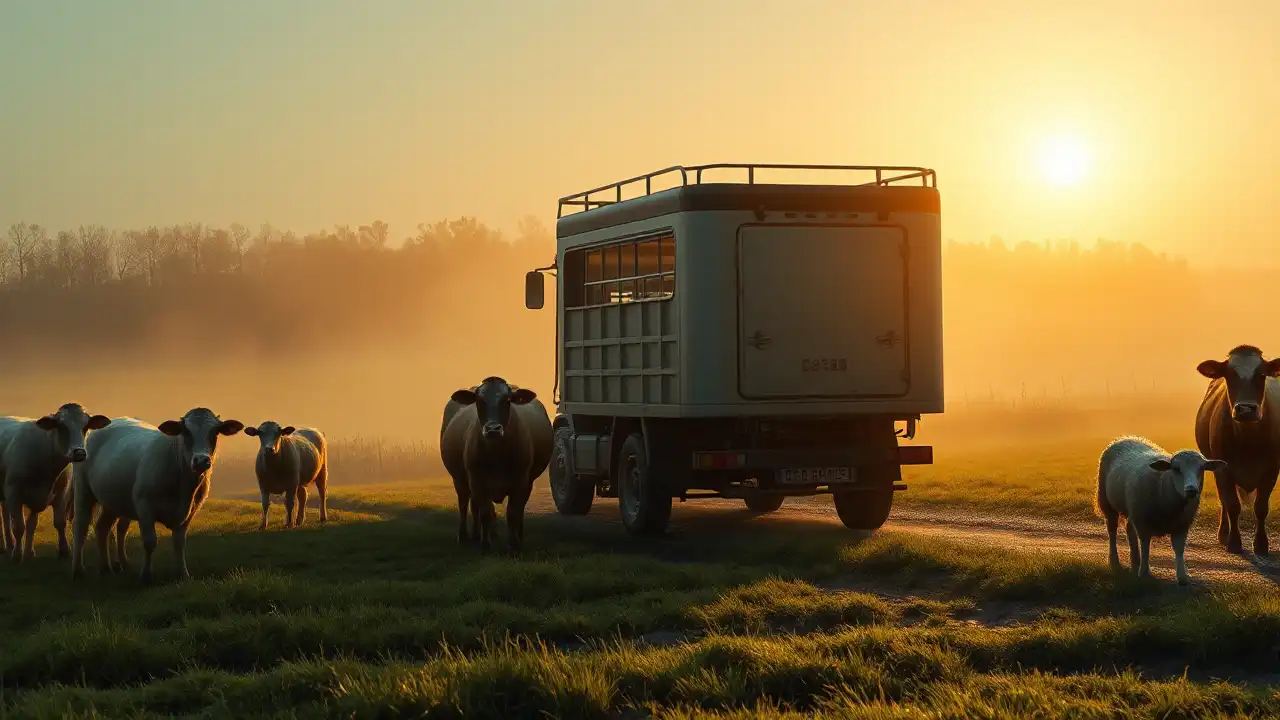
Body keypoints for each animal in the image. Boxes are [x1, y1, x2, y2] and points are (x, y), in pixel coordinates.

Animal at [0, 404, 111, 562]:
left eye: (85, 427)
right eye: (62, 427)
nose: (80, 453)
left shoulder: (60, 493)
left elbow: (55, 523)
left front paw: (63, 550)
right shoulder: (13, 494)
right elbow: (19, 526)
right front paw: (17, 554)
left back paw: (13, 547)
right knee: (6, 519)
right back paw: (8, 547)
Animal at [70, 407, 244, 582]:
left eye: (215, 432)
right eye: (186, 432)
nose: (201, 460)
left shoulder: (190, 512)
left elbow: (179, 543)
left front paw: (182, 574)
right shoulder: (144, 506)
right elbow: (150, 542)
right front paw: (146, 575)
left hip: (112, 500)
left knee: (102, 528)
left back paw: (106, 568)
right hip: (83, 488)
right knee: (80, 526)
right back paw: (78, 570)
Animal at [439, 377, 553, 554]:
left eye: (507, 401)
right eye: (479, 401)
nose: (493, 429)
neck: (496, 456)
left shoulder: (522, 482)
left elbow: (513, 512)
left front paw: (514, 544)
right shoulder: (477, 481)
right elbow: (485, 512)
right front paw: (486, 545)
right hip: (460, 480)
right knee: (465, 504)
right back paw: (466, 536)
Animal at [1095, 436, 1226, 585]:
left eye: (1202, 469)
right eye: (1176, 469)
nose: (1191, 490)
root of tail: (1125, 438)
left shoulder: (1182, 524)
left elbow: (1179, 549)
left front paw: (1182, 576)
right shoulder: (1143, 521)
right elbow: (1145, 545)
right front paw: (1144, 573)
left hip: (1131, 509)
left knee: (1129, 529)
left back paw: (1135, 562)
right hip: (1106, 501)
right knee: (1112, 530)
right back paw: (1115, 562)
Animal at [1194, 344, 1280, 555]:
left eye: (1262, 375)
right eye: (1229, 374)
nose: (1246, 409)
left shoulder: (1272, 470)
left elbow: (1261, 507)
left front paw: (1261, 544)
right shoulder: (1223, 469)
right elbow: (1232, 504)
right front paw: (1234, 542)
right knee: (1224, 501)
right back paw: (1224, 533)